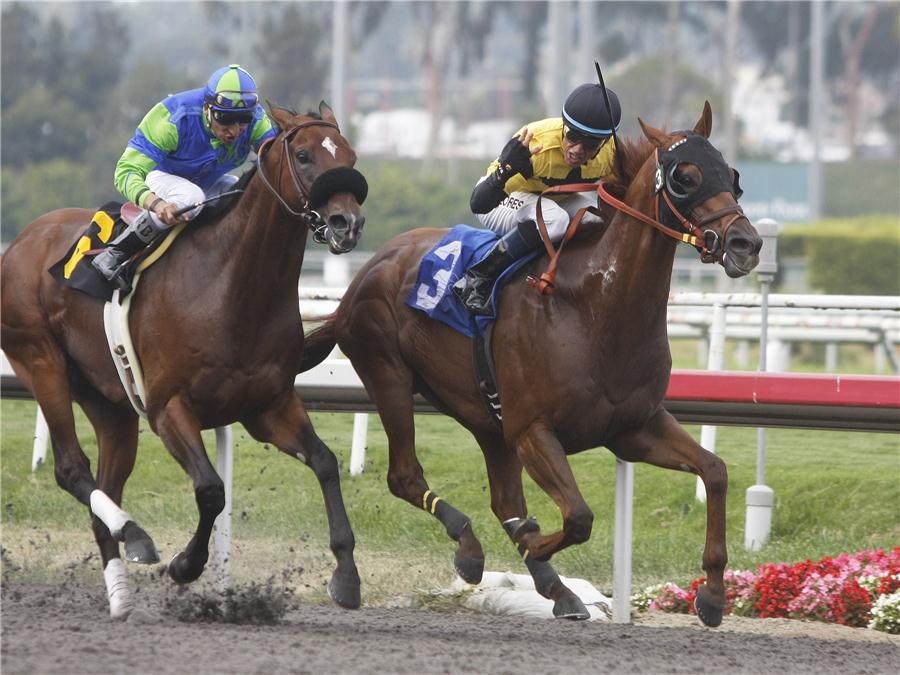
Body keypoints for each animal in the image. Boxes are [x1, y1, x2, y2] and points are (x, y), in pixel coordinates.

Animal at [0, 102, 367, 619]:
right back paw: (137, 536)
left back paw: (120, 594)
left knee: (105, 490)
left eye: (350, 156)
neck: (229, 285)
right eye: (303, 155)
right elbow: (212, 490)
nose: (345, 224)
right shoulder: (168, 407)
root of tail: (21, 241)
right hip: (40, 362)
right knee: (71, 469)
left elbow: (325, 462)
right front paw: (185, 566)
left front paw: (347, 575)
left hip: (110, 402)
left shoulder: (268, 406)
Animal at [299, 102, 762, 626]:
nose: (746, 244)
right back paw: (469, 552)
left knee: (504, 499)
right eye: (685, 176)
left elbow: (716, 471)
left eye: (732, 175)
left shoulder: (633, 428)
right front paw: (534, 544)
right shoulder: (534, 430)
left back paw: (555, 587)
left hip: (484, 415)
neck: (597, 308)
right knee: (406, 476)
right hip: (389, 374)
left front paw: (713, 595)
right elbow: (578, 517)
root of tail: (362, 278)